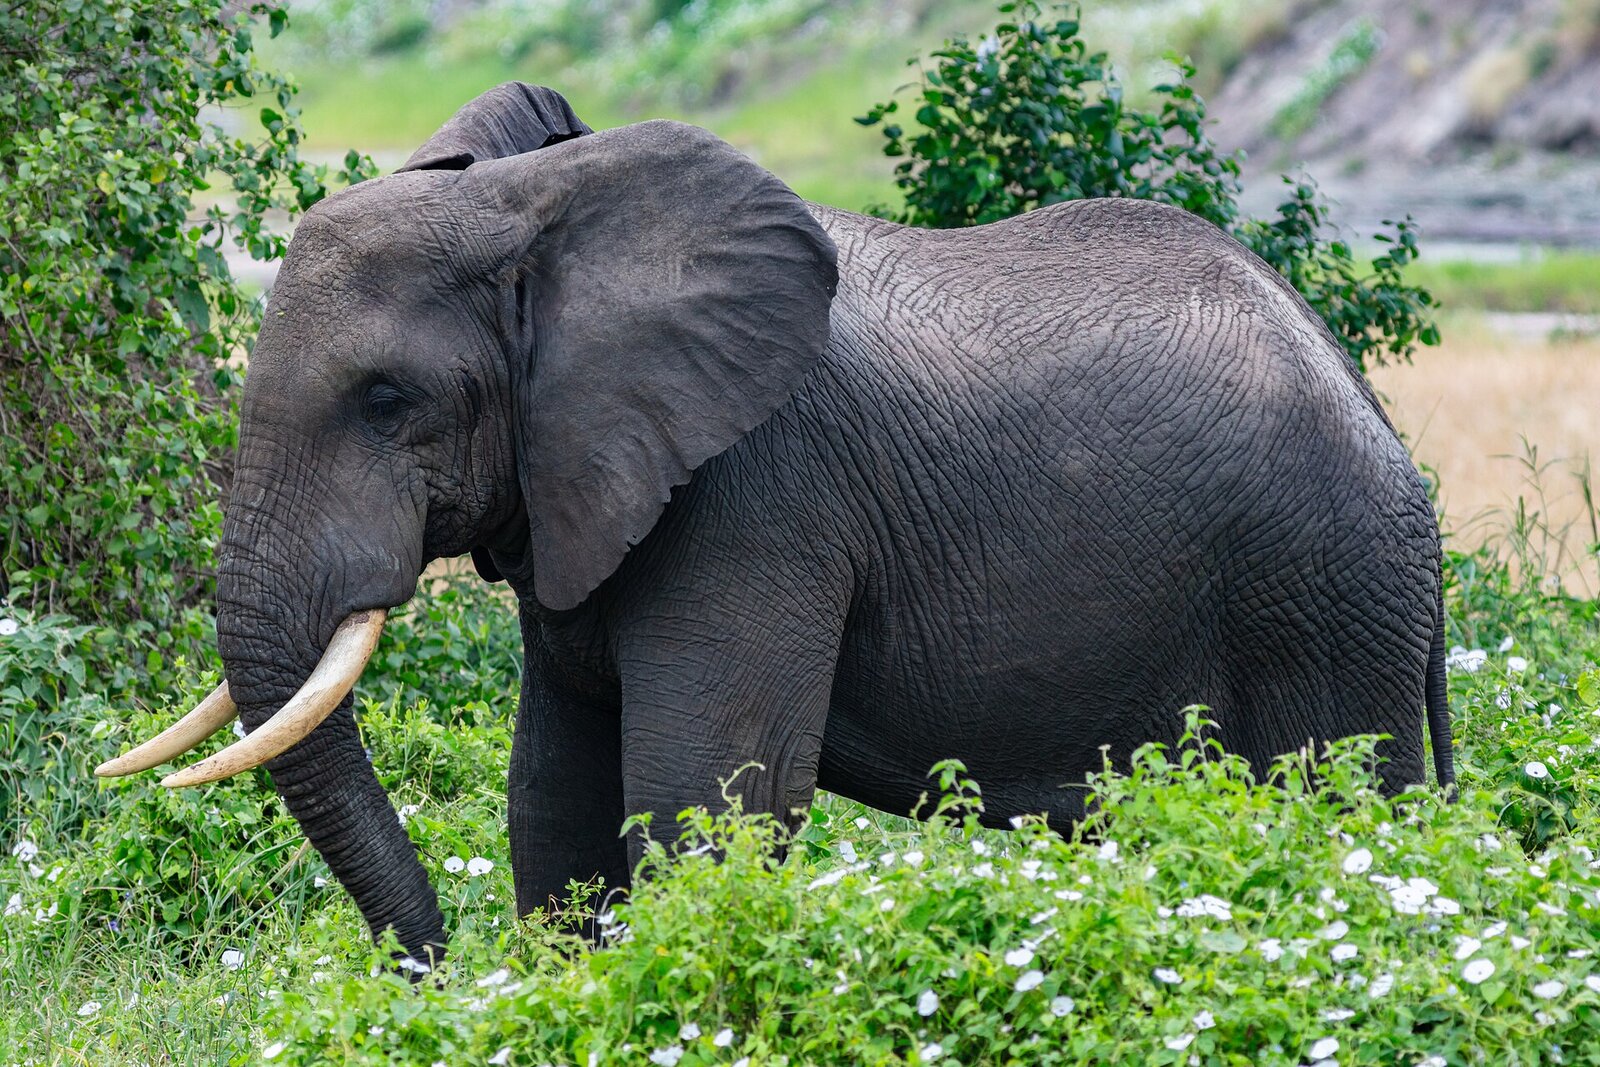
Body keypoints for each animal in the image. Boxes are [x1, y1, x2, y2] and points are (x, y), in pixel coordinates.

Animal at [99, 83, 1453, 964]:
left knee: (1346, 810)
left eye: (386, 401)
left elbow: (703, 800)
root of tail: (1392, 441)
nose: (432, 971)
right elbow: (555, 799)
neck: (540, 208)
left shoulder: (758, 497)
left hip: (1322, 591)